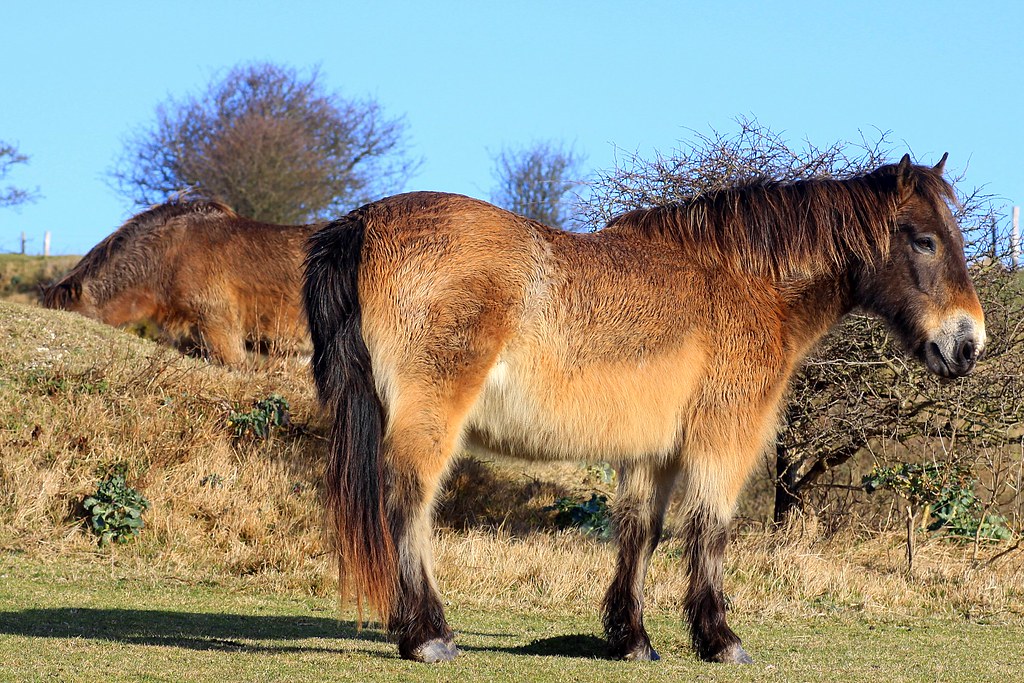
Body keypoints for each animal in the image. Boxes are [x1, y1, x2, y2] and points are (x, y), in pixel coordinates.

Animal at [301, 154, 983, 663]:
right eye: (925, 240)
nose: (968, 345)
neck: (745, 282)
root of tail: (361, 224)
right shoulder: (723, 439)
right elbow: (710, 529)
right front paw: (719, 639)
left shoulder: (654, 451)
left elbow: (640, 532)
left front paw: (631, 639)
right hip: (430, 419)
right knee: (408, 503)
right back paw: (428, 635)